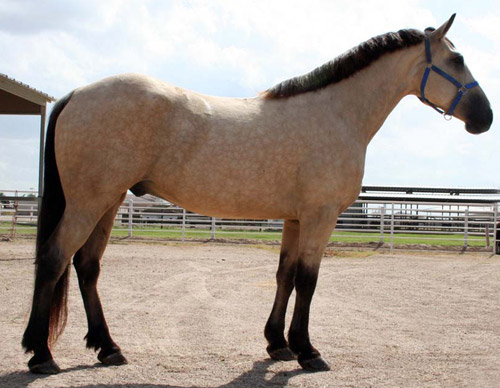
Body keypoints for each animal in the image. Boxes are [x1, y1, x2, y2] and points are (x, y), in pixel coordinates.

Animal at [23, 14, 492, 372]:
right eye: (457, 58)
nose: (485, 117)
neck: (337, 113)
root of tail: (77, 94)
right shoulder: (320, 216)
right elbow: (307, 280)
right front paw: (307, 351)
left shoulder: (295, 217)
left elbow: (285, 275)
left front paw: (277, 344)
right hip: (88, 203)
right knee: (54, 258)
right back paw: (41, 355)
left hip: (108, 202)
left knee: (86, 266)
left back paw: (108, 348)